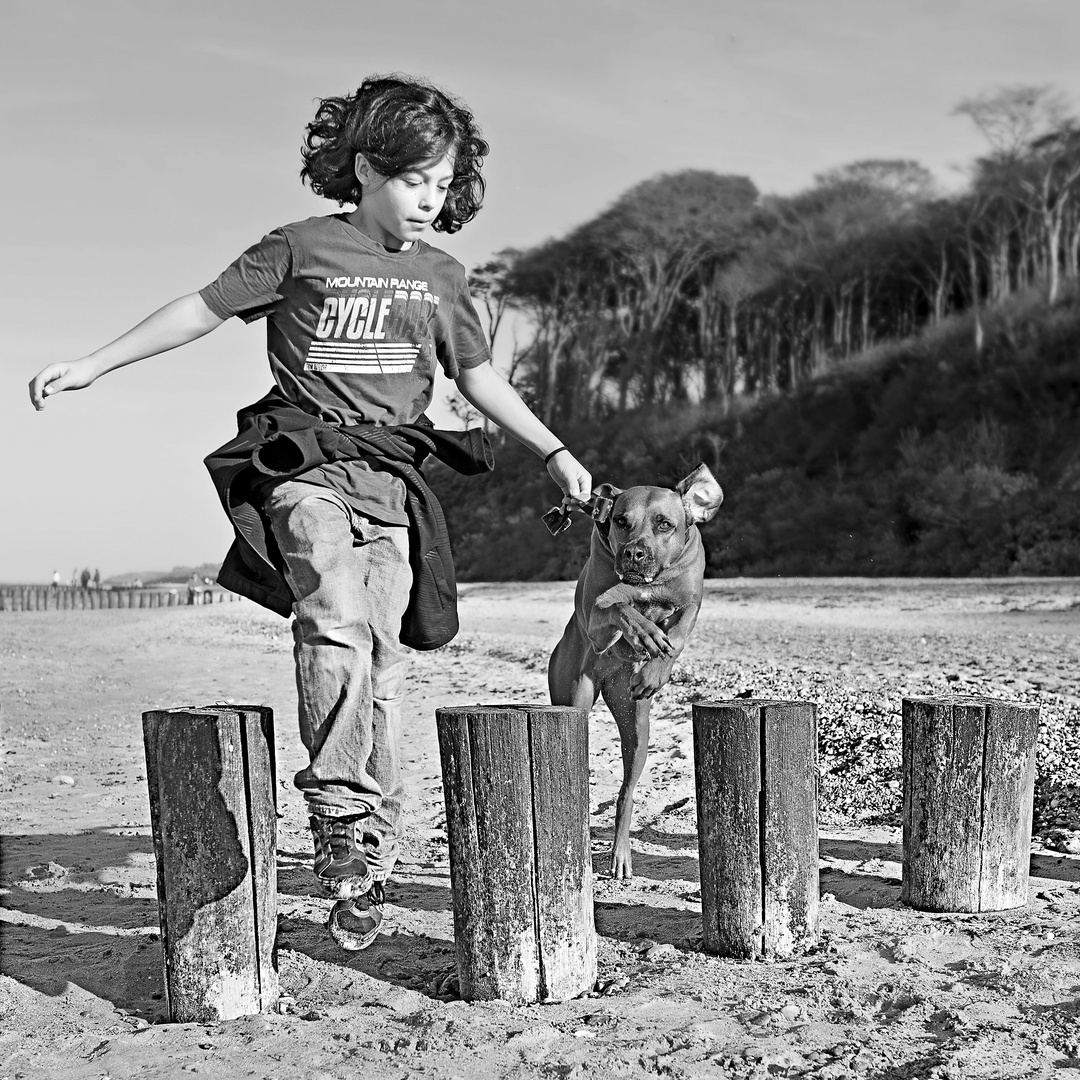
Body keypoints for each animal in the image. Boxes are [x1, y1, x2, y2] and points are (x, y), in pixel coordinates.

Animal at [552, 462, 721, 876]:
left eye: (665, 524)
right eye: (620, 521)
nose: (634, 553)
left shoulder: (691, 601)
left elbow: (679, 632)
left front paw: (655, 669)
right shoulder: (597, 621)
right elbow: (619, 607)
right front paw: (642, 629)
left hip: (636, 728)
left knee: (626, 794)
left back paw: (621, 853)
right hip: (574, 698)